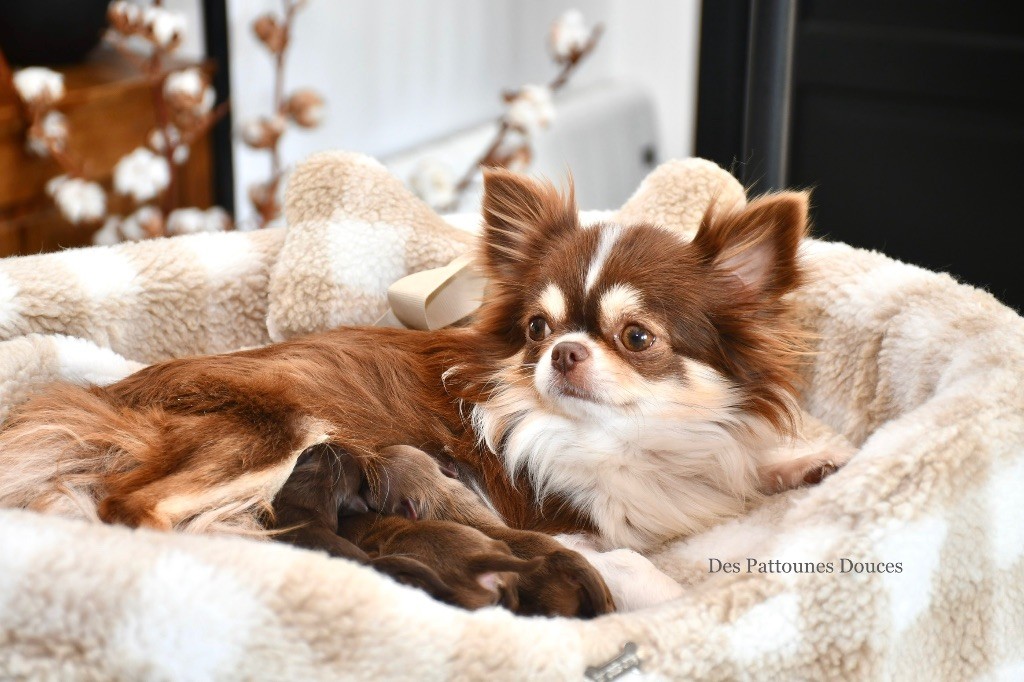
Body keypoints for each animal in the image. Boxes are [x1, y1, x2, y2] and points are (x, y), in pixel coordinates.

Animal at [0, 168, 847, 610]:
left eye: (637, 339)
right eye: (536, 328)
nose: (564, 352)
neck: (622, 436)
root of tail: (109, 399)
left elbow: (745, 460)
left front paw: (808, 460)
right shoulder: (547, 517)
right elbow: (629, 562)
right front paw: (676, 597)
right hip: (273, 428)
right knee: (136, 512)